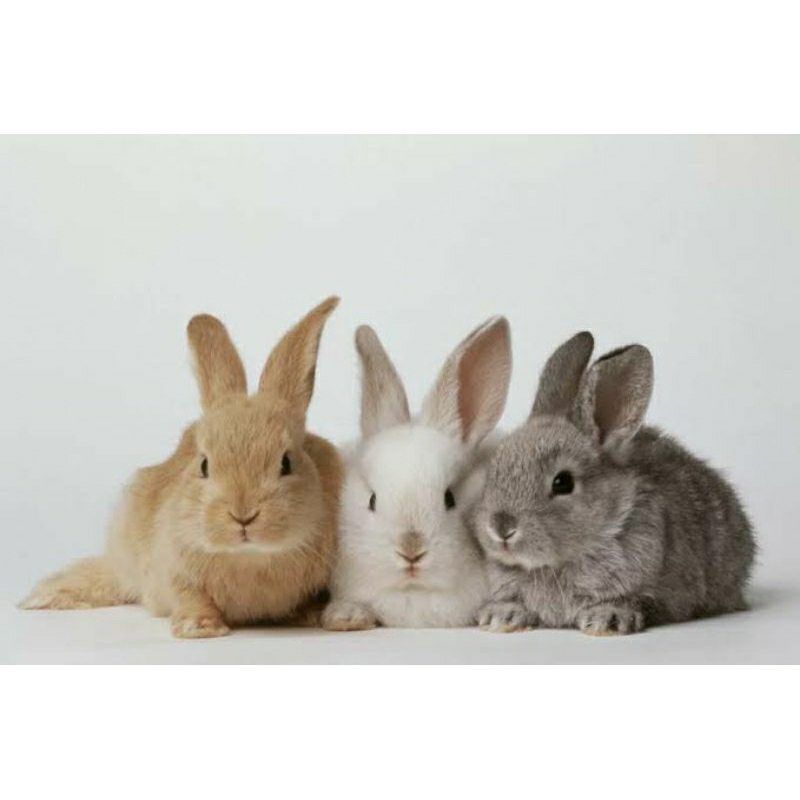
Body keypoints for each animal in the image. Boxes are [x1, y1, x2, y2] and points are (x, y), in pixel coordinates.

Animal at [19, 297, 343, 638]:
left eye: (286, 462)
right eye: (204, 464)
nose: (243, 515)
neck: (250, 557)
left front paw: (312, 615)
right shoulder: (173, 568)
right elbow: (189, 595)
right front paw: (199, 627)